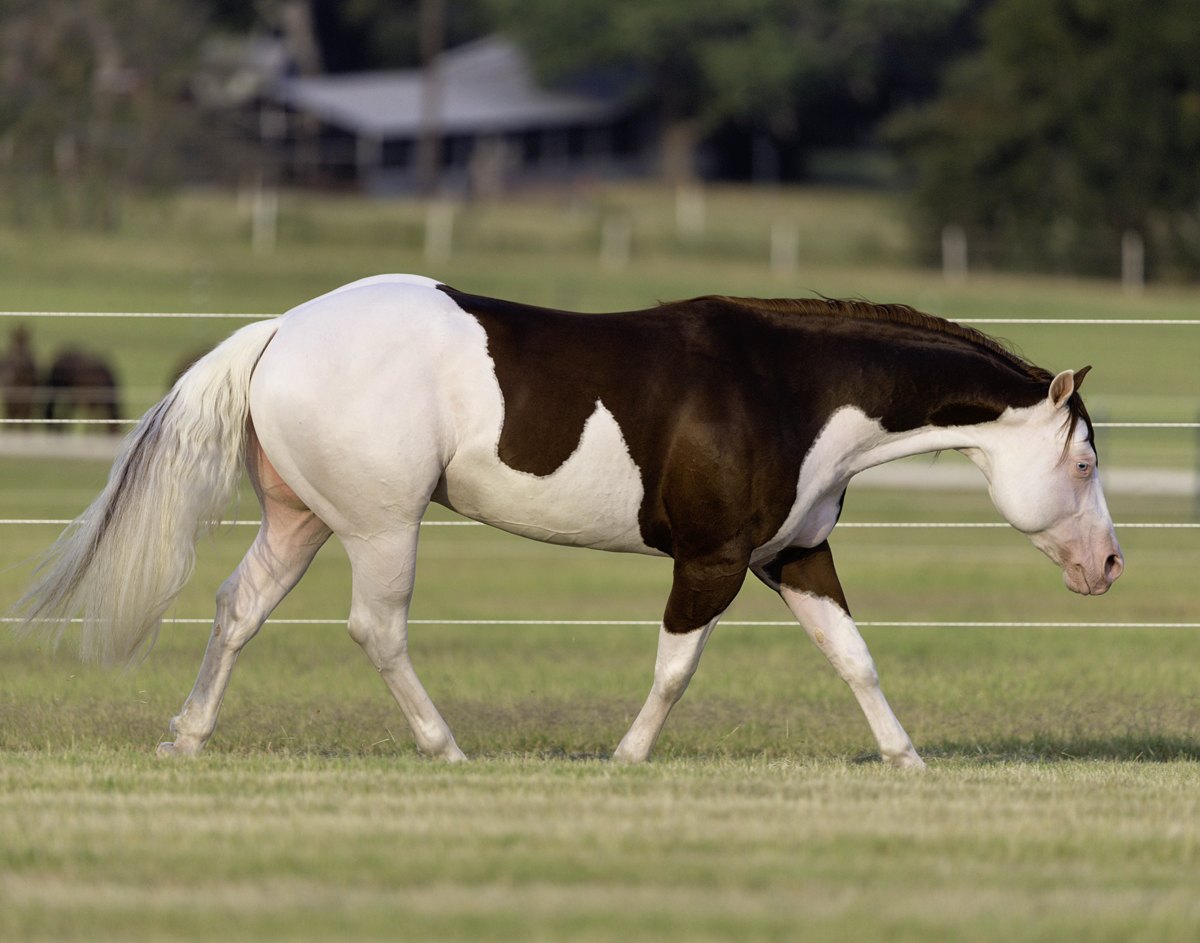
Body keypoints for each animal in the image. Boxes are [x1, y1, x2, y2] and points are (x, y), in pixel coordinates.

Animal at [17, 274, 1124, 767]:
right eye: (1082, 461)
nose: (1108, 564)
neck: (787, 388)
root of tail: (281, 328)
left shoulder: (796, 554)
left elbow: (856, 659)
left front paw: (907, 761)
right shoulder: (714, 562)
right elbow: (675, 668)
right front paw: (625, 759)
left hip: (302, 521)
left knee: (237, 608)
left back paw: (188, 736)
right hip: (381, 527)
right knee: (376, 628)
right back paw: (445, 747)